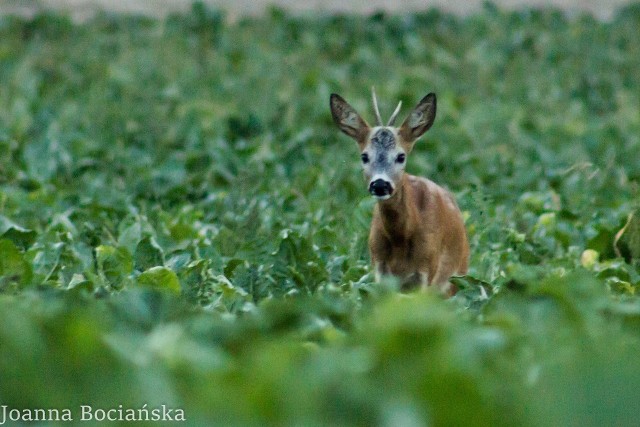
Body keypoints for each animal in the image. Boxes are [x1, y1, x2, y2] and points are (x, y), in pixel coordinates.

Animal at [330, 87, 470, 294]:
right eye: (364, 156)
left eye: (401, 156)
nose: (380, 184)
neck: (400, 240)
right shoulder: (379, 269)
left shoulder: (426, 271)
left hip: (456, 278)